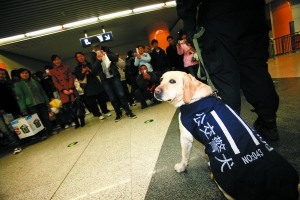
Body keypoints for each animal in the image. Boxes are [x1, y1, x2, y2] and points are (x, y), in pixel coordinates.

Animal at [155, 71, 300, 199]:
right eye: (161, 79)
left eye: (172, 81)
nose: (155, 91)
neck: (194, 98)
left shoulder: (185, 137)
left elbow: (185, 157)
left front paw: (181, 167)